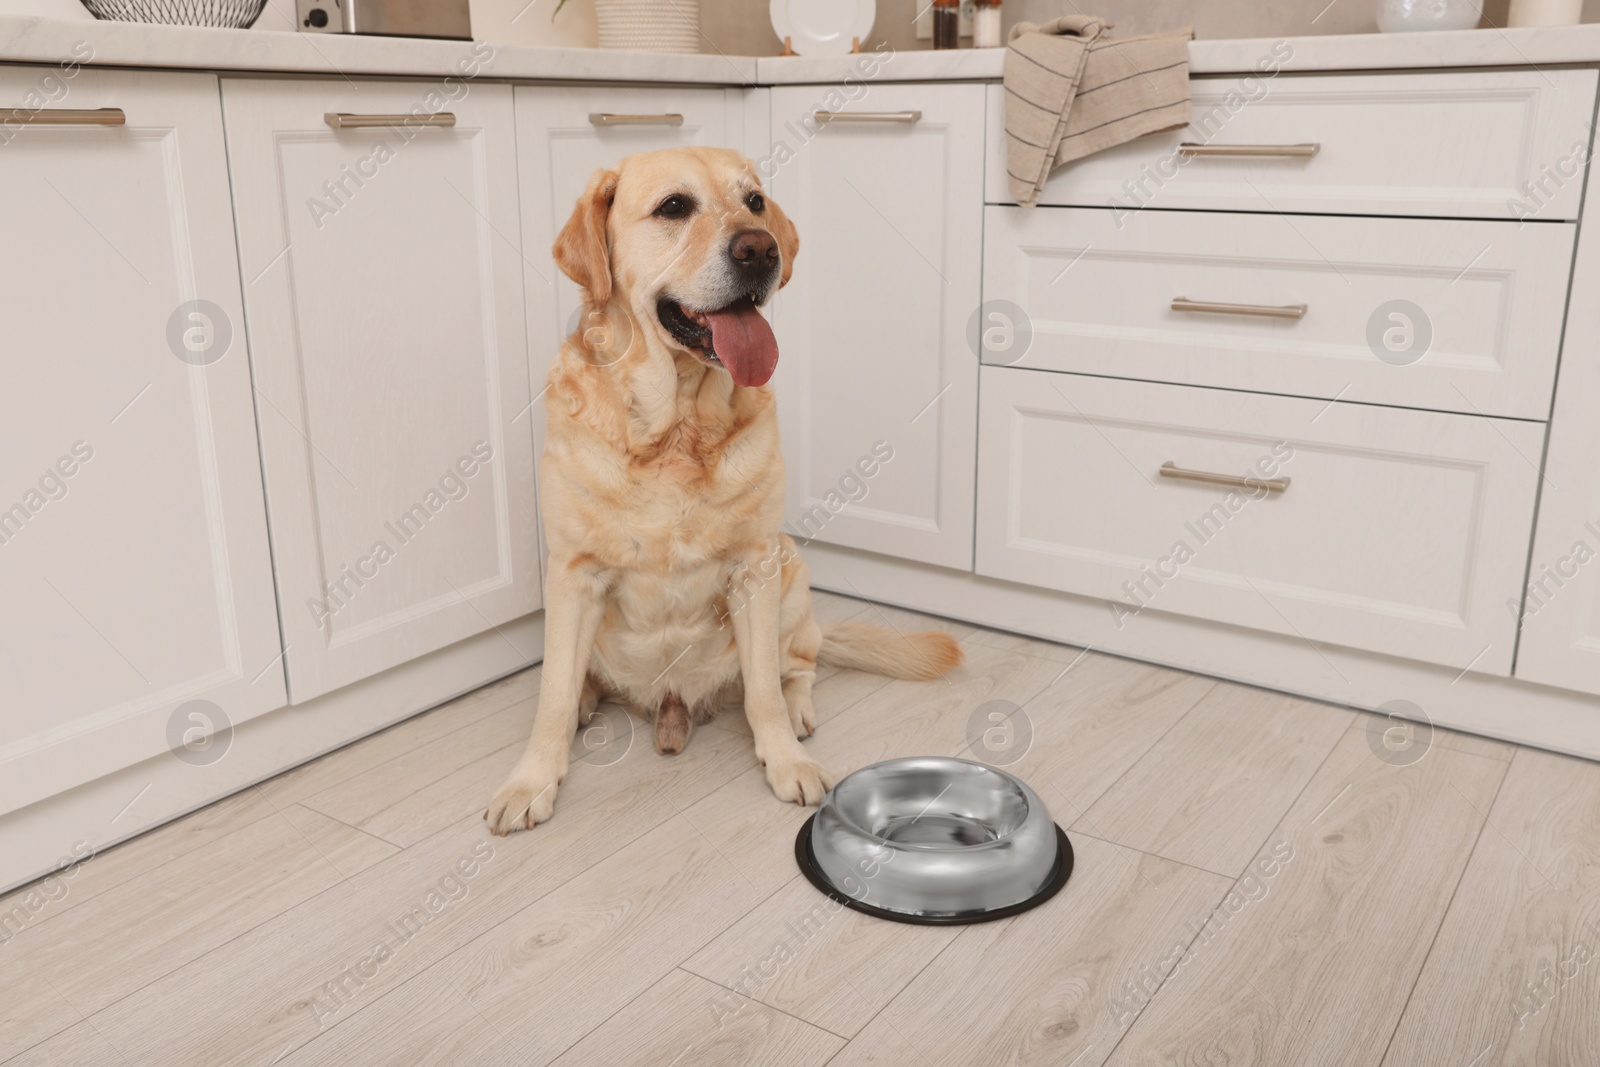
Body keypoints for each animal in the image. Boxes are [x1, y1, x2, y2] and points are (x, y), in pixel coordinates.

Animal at [483, 147, 960, 831]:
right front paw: (532, 780)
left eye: (754, 202)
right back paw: (587, 701)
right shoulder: (573, 574)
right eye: (674, 207)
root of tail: (671, 707)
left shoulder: (753, 568)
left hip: (791, 575)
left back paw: (799, 712)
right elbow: (550, 695)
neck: (675, 427)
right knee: (578, 682)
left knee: (800, 665)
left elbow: (761, 690)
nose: (761, 250)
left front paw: (784, 759)